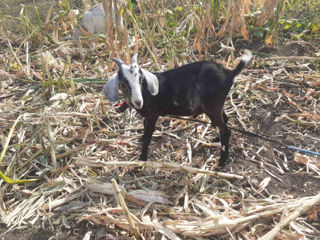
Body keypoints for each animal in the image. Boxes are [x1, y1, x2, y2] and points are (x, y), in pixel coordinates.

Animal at [104, 50, 251, 167]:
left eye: (140, 79)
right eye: (124, 82)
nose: (138, 101)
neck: (145, 92)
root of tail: (229, 73)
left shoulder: (153, 115)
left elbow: (148, 137)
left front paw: (142, 158)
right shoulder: (147, 117)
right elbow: (145, 132)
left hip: (213, 107)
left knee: (225, 131)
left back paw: (221, 162)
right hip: (217, 105)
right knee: (225, 120)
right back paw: (216, 140)